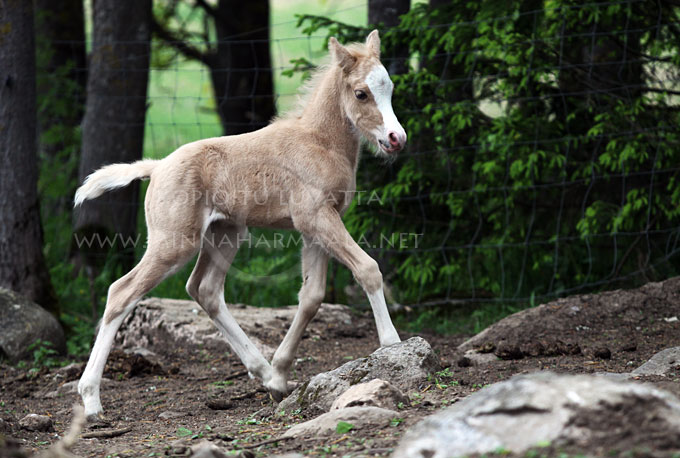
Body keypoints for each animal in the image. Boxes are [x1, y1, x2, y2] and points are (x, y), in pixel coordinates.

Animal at [74, 30, 406, 420]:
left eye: (390, 87)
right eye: (361, 93)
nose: (397, 139)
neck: (319, 142)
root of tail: (155, 167)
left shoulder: (315, 226)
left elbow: (312, 296)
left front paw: (281, 374)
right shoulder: (315, 217)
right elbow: (368, 269)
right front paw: (392, 344)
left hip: (225, 233)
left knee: (204, 289)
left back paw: (264, 373)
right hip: (175, 242)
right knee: (121, 292)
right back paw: (91, 400)